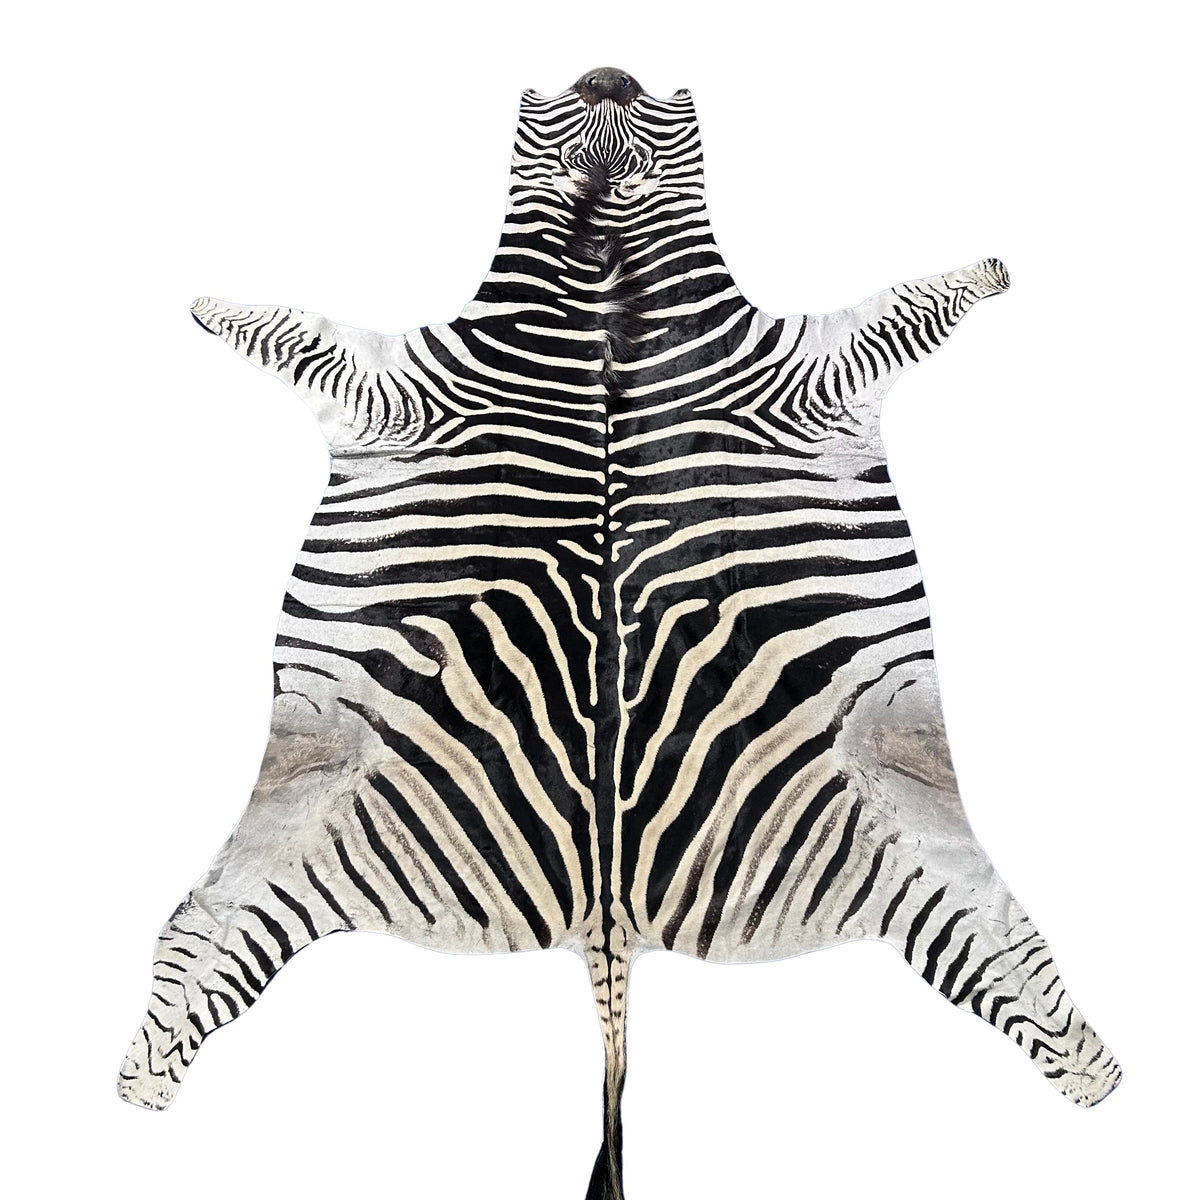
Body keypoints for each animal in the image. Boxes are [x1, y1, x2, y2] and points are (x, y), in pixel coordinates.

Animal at [119, 66, 1120, 1199]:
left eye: (647, 115)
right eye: (560, 114)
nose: (608, 71)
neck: (605, 280)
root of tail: (607, 923)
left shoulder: (810, 377)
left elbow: (918, 303)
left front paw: (993, 267)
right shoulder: (399, 391)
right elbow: (287, 329)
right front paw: (206, 303)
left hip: (911, 830)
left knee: (1015, 963)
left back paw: (1100, 1074)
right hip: (308, 805)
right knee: (194, 937)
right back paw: (140, 1078)